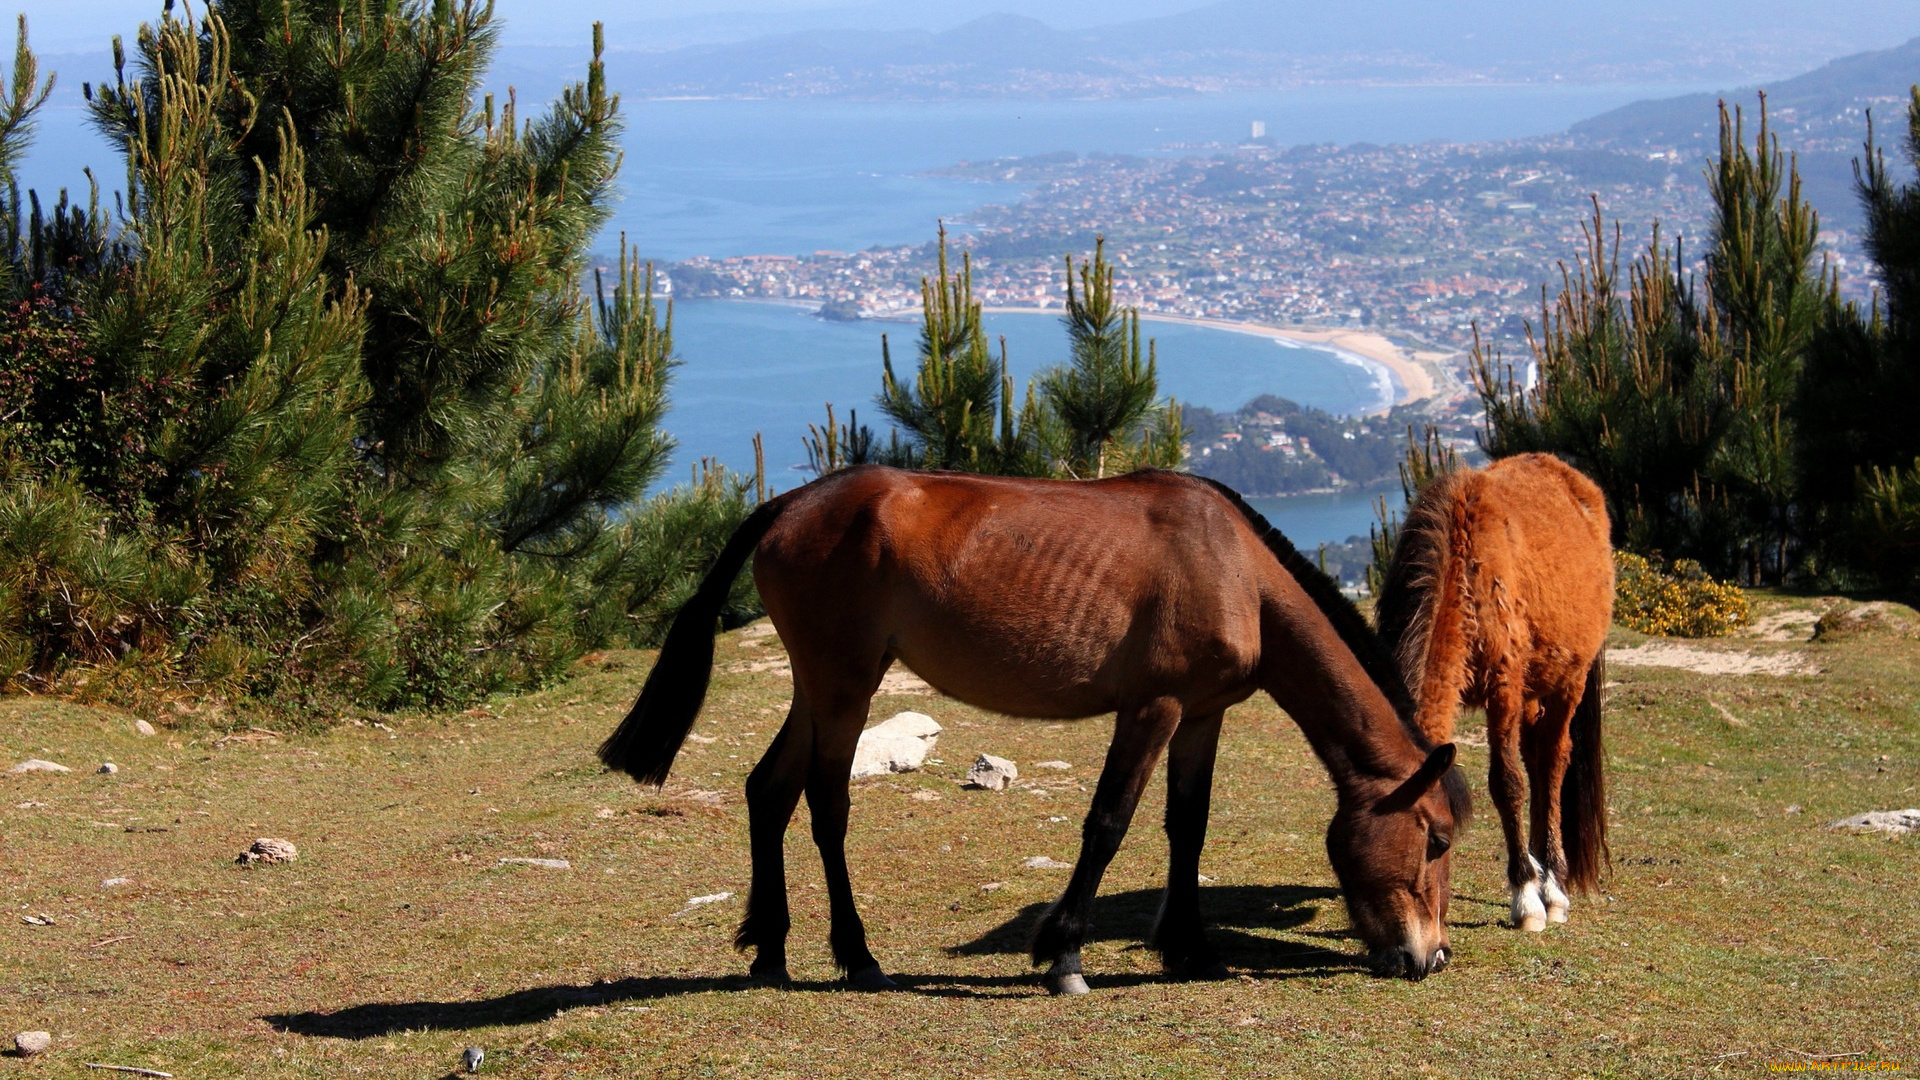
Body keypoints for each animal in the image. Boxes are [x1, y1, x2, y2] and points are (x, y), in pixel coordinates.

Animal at [599, 466, 1466, 991]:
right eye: (1435, 839)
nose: (1430, 956)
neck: (1234, 569)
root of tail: (790, 503)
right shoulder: (1153, 708)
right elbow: (1109, 823)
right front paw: (1064, 954)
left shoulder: (1202, 714)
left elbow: (1187, 825)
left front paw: (1189, 949)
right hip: (844, 686)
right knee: (825, 804)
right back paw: (857, 954)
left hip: (820, 687)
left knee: (769, 790)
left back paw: (772, 950)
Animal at [1374, 449, 1612, 930]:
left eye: (1430, 842)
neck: (1467, 570)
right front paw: (1529, 880)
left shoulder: (1504, 688)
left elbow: (1506, 784)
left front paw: (1526, 897)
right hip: (1535, 689)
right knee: (1538, 761)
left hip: (1567, 682)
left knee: (1553, 764)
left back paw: (1552, 886)